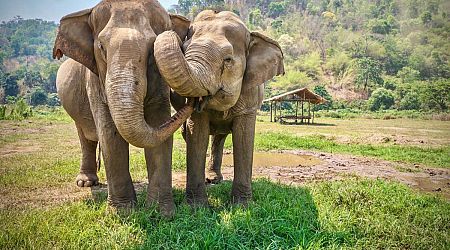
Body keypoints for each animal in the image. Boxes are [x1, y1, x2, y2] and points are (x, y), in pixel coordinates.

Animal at [53, 0, 193, 217]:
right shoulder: (95, 80)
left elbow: (158, 124)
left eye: (152, 49)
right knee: (86, 137)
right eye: (101, 47)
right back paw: (86, 183)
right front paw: (122, 213)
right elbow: (109, 134)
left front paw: (161, 213)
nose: (194, 101)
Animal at [153, 10, 284, 205]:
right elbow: (197, 135)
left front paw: (242, 205)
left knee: (219, 138)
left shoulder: (250, 97)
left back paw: (215, 179)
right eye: (184, 49)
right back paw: (210, 179)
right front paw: (196, 207)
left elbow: (244, 138)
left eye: (228, 60)